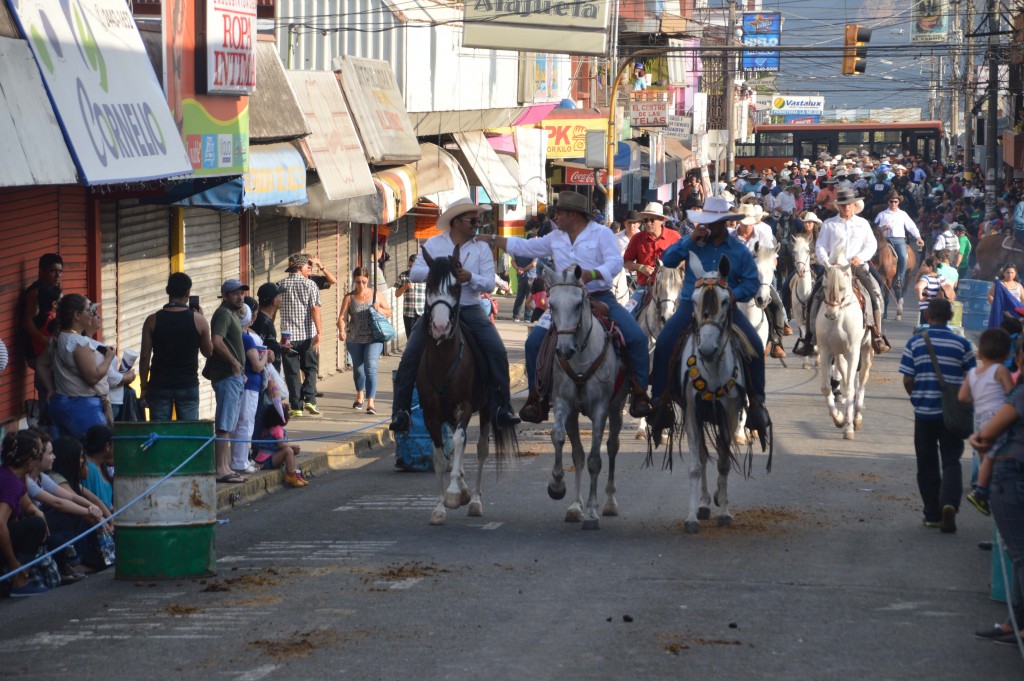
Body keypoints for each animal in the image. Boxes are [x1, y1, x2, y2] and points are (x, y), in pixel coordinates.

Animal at [415, 245, 516, 524]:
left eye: (456, 287)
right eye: (428, 284)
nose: (440, 327)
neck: (443, 357)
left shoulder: (464, 406)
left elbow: (461, 442)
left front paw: (453, 493)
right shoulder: (430, 414)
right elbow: (439, 457)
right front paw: (440, 506)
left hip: (486, 409)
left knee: (480, 449)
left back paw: (475, 501)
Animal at [540, 262, 626, 528]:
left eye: (578, 304)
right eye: (551, 304)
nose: (563, 349)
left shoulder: (600, 409)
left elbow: (595, 460)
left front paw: (591, 512)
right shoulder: (563, 403)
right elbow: (559, 438)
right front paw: (557, 485)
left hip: (617, 407)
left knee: (612, 447)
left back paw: (609, 503)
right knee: (577, 453)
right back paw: (575, 506)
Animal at [786, 236, 819, 368]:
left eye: (808, 251)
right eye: (794, 251)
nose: (801, 271)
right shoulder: (800, 321)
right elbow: (805, 336)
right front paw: (806, 361)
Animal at [815, 249, 872, 440]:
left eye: (842, 287)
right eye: (824, 286)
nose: (831, 314)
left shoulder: (854, 351)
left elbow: (850, 389)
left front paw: (848, 426)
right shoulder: (825, 351)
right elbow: (826, 388)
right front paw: (839, 418)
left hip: (866, 349)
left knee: (861, 380)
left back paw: (857, 417)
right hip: (839, 353)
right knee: (846, 377)